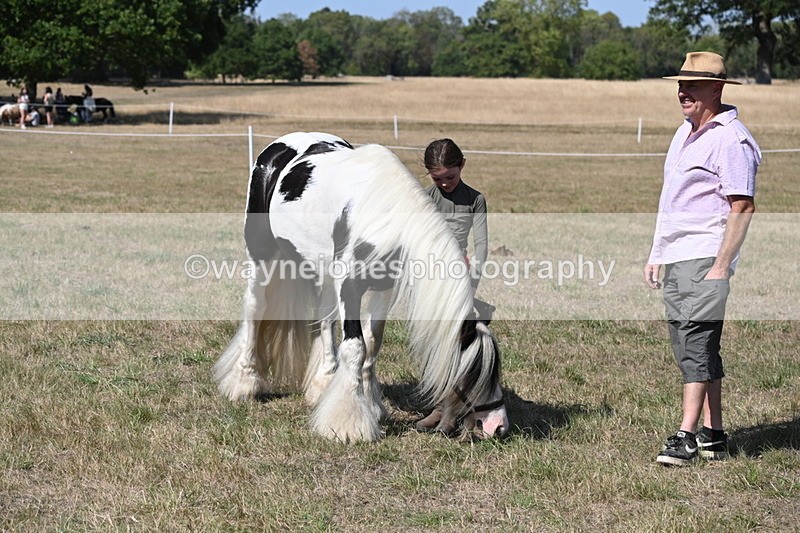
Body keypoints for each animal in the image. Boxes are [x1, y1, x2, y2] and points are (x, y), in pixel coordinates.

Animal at [213, 132, 509, 443]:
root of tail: (278, 147)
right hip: (262, 255)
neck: (384, 216)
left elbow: (372, 342)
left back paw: (323, 384)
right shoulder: (350, 287)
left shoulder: (383, 288)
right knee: (256, 309)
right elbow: (356, 347)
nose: (498, 426)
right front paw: (348, 423)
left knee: (324, 320)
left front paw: (371, 406)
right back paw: (244, 382)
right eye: (474, 372)